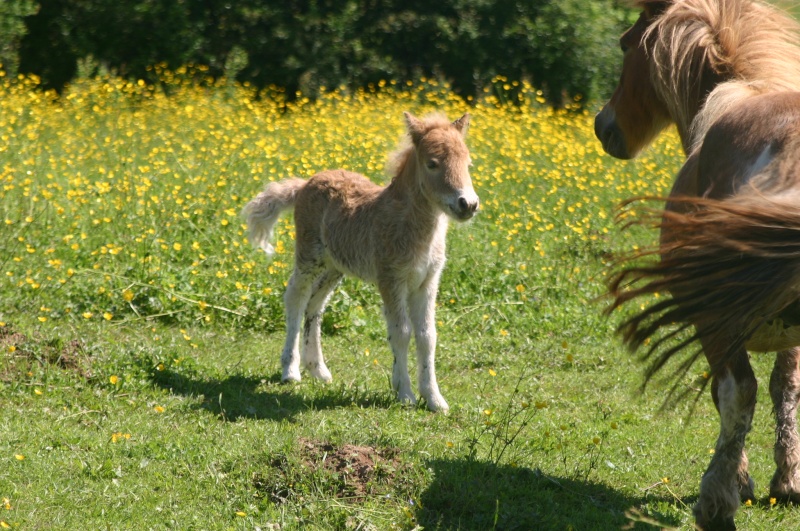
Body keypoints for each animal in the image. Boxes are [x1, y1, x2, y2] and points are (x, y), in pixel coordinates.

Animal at [244, 112, 478, 414]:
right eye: (432, 163)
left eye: (468, 163)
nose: (468, 204)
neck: (417, 230)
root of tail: (306, 182)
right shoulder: (390, 279)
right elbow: (402, 332)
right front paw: (405, 394)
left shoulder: (427, 281)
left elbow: (428, 336)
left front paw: (435, 399)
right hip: (309, 256)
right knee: (296, 297)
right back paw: (291, 371)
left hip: (334, 266)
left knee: (315, 305)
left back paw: (318, 370)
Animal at [596, 0, 800, 528]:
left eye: (625, 44)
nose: (605, 127)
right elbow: (787, 390)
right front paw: (788, 481)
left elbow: (730, 397)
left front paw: (742, 482)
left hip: (715, 318)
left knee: (737, 392)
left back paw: (715, 501)